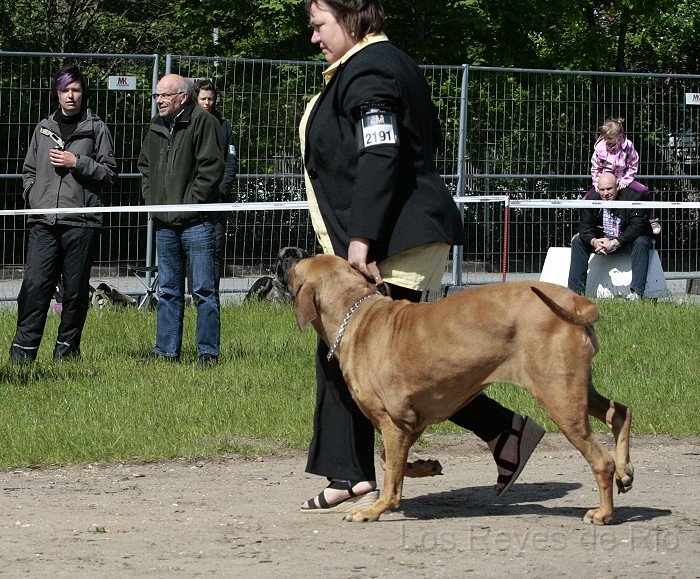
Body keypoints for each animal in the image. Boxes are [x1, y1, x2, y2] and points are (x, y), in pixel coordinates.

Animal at [286, 254, 636, 524]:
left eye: (296, 266)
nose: (284, 255)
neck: (357, 316)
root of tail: (578, 301)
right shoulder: (408, 421)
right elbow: (389, 462)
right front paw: (425, 466)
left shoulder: (392, 421)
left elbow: (390, 476)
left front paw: (375, 509)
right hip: (575, 386)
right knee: (620, 412)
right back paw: (624, 471)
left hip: (558, 396)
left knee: (600, 459)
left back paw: (604, 511)